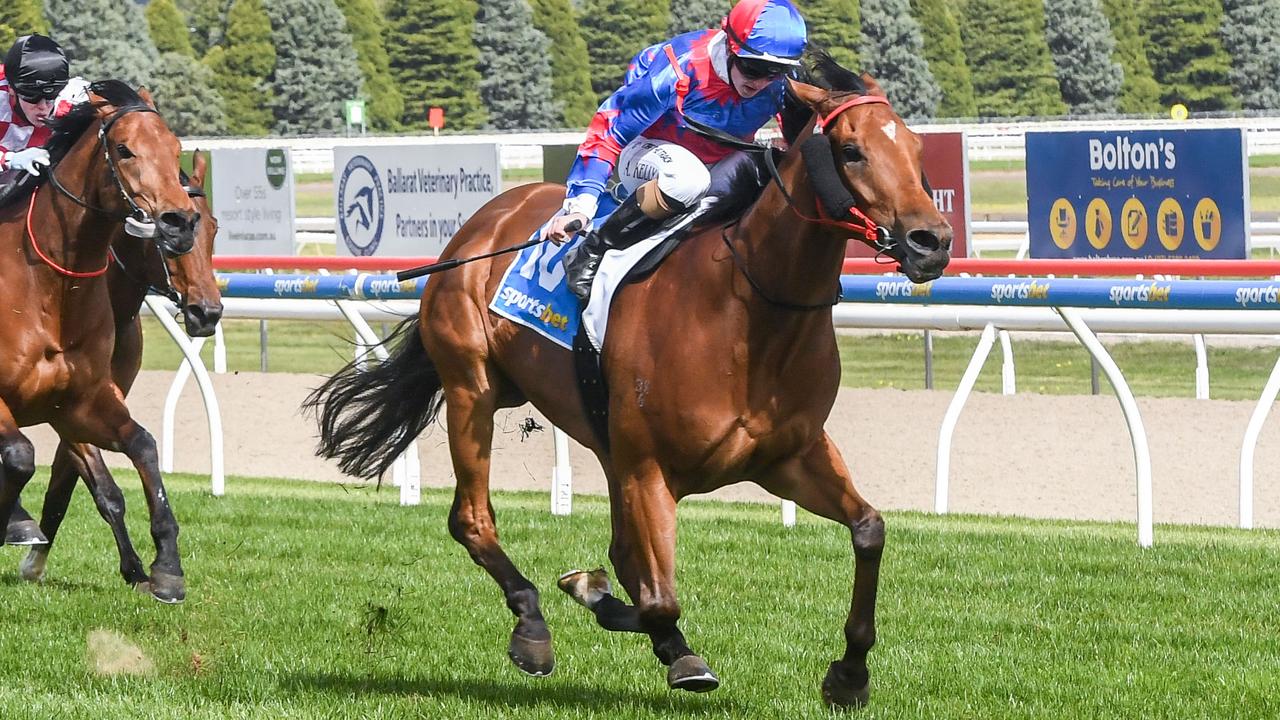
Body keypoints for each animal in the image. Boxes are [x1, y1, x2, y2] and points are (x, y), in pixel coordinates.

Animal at [0, 81, 199, 602]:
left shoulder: (78, 403)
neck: (48, 289)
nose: (178, 223)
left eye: (175, 149)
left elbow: (142, 445)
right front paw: (14, 523)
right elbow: (20, 457)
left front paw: (166, 568)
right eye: (124, 149)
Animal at [309, 57, 952, 707]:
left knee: (617, 550)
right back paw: (532, 625)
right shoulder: (649, 468)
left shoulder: (788, 456)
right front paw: (632, 621)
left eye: (915, 149)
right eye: (851, 151)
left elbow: (869, 530)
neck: (748, 313)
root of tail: (483, 223)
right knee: (471, 517)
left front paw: (849, 673)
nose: (932, 241)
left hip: (592, 431)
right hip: (473, 387)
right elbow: (660, 599)